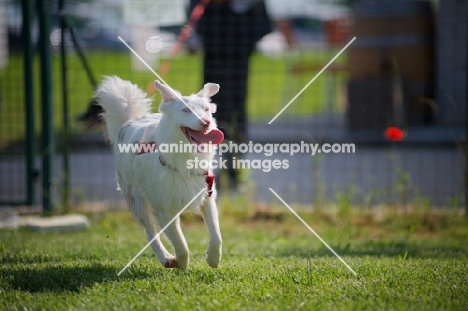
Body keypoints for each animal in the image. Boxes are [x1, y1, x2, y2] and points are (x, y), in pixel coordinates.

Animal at [96, 77, 224, 270]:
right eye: (185, 110)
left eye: (206, 110)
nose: (206, 122)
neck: (185, 159)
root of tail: (130, 121)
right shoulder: (164, 212)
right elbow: (181, 244)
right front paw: (182, 265)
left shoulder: (206, 198)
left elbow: (216, 235)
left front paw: (213, 259)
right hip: (136, 200)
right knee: (150, 233)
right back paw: (166, 258)